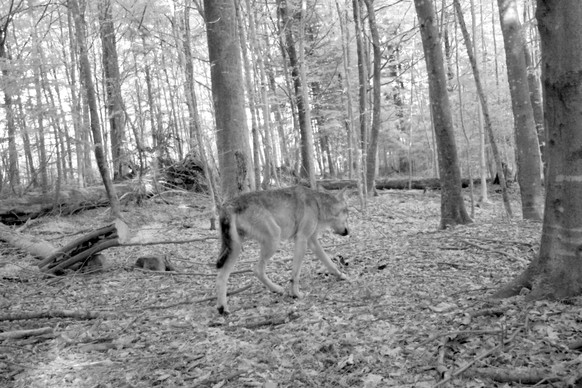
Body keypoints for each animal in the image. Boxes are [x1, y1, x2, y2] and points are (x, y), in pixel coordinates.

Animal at [216, 186, 350, 316]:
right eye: (347, 213)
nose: (348, 232)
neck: (318, 204)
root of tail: (229, 205)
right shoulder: (302, 239)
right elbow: (296, 274)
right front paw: (296, 294)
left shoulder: (312, 241)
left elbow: (329, 262)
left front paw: (341, 275)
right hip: (273, 239)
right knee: (257, 270)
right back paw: (276, 289)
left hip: (236, 249)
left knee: (222, 276)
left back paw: (223, 308)